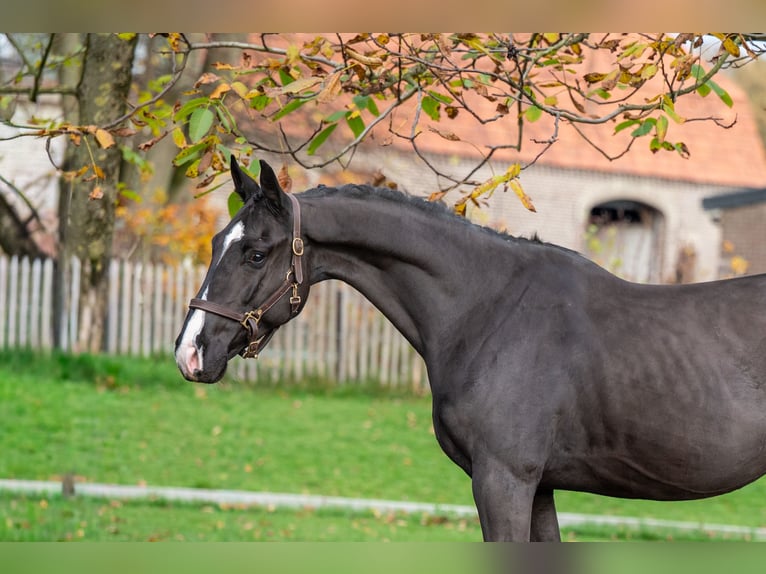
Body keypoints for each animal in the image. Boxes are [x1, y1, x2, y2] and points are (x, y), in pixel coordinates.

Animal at [175, 157, 766, 541]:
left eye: (255, 253)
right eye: (215, 242)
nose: (190, 352)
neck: (491, 308)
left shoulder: (504, 481)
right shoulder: (539, 489)